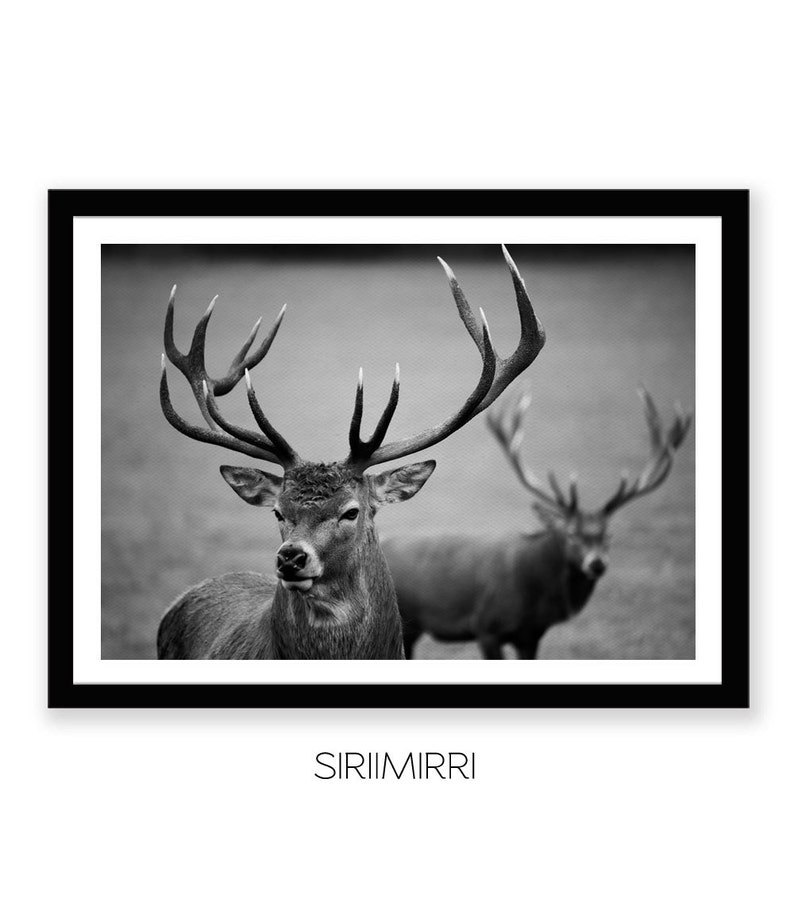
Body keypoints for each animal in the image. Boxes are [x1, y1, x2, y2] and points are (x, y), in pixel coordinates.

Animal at [384, 387, 692, 659]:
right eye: (571, 533)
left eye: (609, 534)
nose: (596, 563)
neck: (536, 600)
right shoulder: (486, 627)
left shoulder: (531, 635)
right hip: (411, 624)